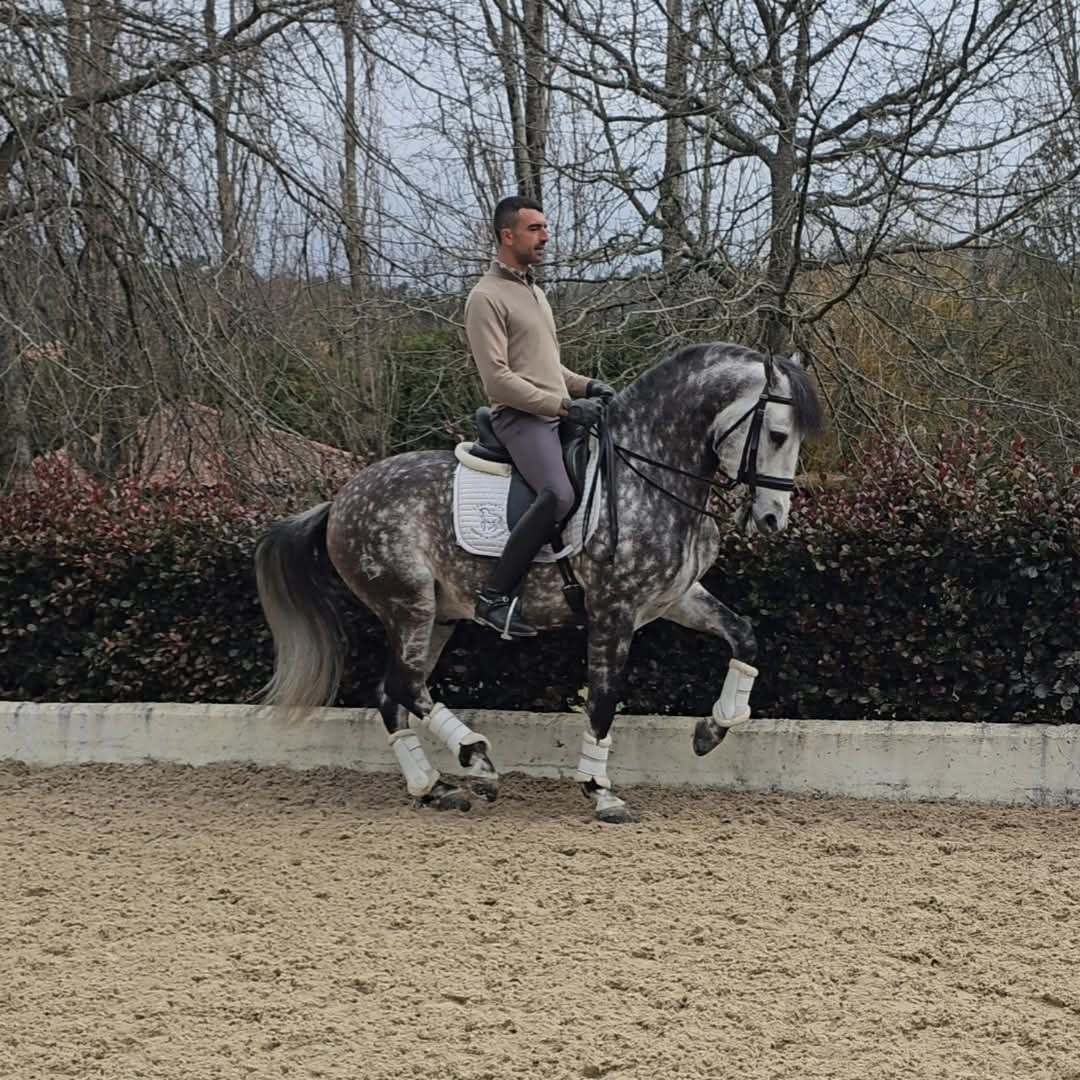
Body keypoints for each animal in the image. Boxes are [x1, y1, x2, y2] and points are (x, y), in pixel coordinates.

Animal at [254, 341, 824, 822]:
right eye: (777, 434)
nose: (773, 519)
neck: (651, 475)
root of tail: (340, 501)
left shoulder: (675, 598)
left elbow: (744, 635)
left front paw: (713, 728)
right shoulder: (613, 612)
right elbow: (604, 697)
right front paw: (600, 791)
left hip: (436, 615)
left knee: (392, 693)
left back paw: (435, 787)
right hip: (408, 605)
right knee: (406, 685)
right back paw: (476, 760)